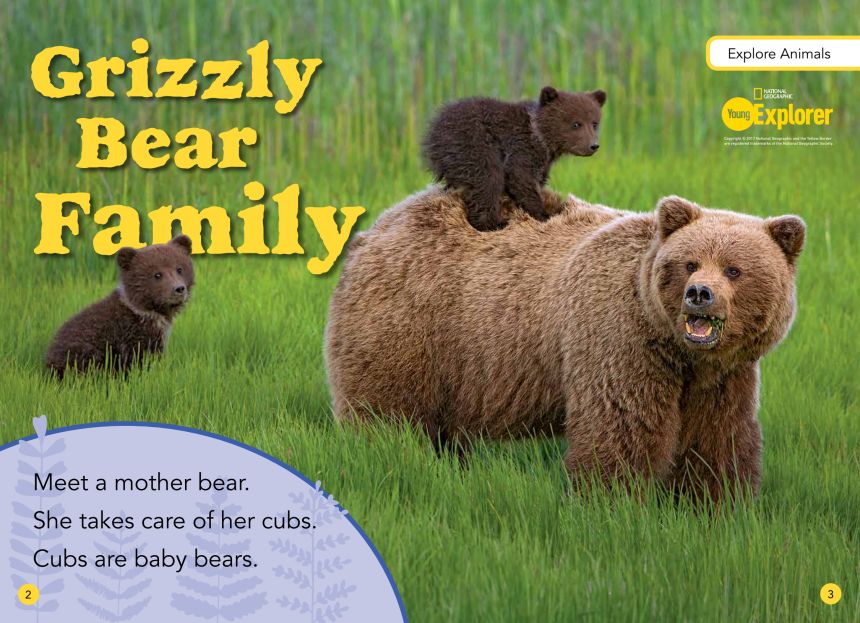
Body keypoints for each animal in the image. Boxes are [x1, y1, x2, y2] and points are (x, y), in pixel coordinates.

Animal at [46, 235, 195, 378]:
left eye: (179, 269)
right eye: (157, 274)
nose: (179, 289)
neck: (148, 313)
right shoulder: (131, 337)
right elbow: (137, 362)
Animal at [324, 189, 805, 502]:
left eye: (734, 269)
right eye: (690, 263)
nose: (699, 294)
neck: (679, 351)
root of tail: (376, 228)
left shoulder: (723, 377)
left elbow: (717, 439)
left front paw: (715, 504)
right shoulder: (620, 340)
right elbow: (622, 428)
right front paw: (612, 502)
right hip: (413, 325)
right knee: (388, 413)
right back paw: (385, 457)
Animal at [422, 86, 605, 231]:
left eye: (594, 123)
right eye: (576, 124)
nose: (593, 146)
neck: (541, 137)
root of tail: (433, 131)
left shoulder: (543, 161)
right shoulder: (521, 146)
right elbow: (520, 176)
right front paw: (544, 214)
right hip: (472, 144)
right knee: (488, 179)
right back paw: (493, 223)